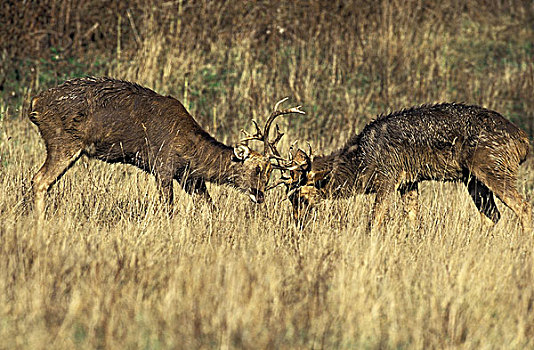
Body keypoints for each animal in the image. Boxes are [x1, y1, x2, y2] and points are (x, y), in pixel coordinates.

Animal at [28, 76, 306, 216]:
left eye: (271, 171)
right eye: (257, 168)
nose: (260, 195)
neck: (189, 151)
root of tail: (35, 103)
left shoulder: (189, 177)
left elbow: (211, 207)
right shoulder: (162, 165)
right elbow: (169, 209)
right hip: (62, 140)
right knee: (39, 179)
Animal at [278, 102, 532, 234]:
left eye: (300, 197)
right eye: (289, 197)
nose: (297, 225)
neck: (361, 161)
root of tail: (523, 141)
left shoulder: (387, 177)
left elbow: (375, 221)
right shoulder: (409, 182)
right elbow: (413, 219)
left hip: (492, 166)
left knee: (523, 206)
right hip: (473, 178)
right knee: (492, 215)